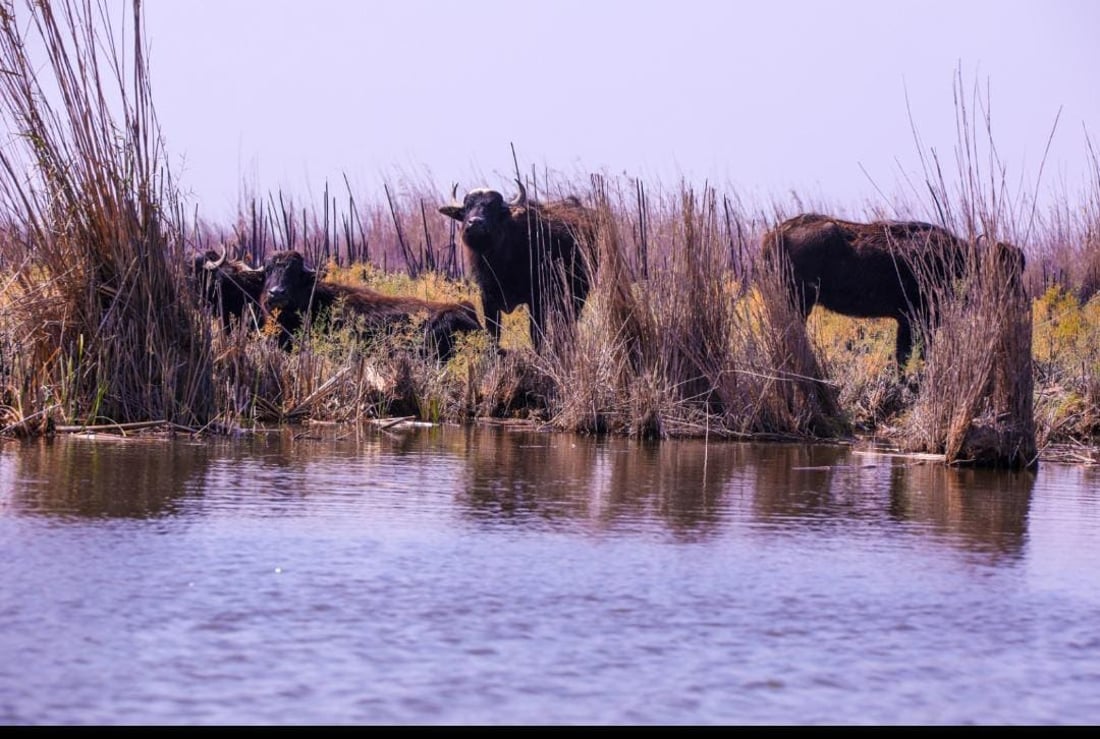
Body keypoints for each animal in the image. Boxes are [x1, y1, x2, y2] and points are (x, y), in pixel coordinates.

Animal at [437, 179, 594, 351]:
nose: (475, 223)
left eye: (493, 207)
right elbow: (493, 332)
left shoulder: (536, 299)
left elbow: (536, 333)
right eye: (467, 207)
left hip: (577, 293)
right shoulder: (487, 298)